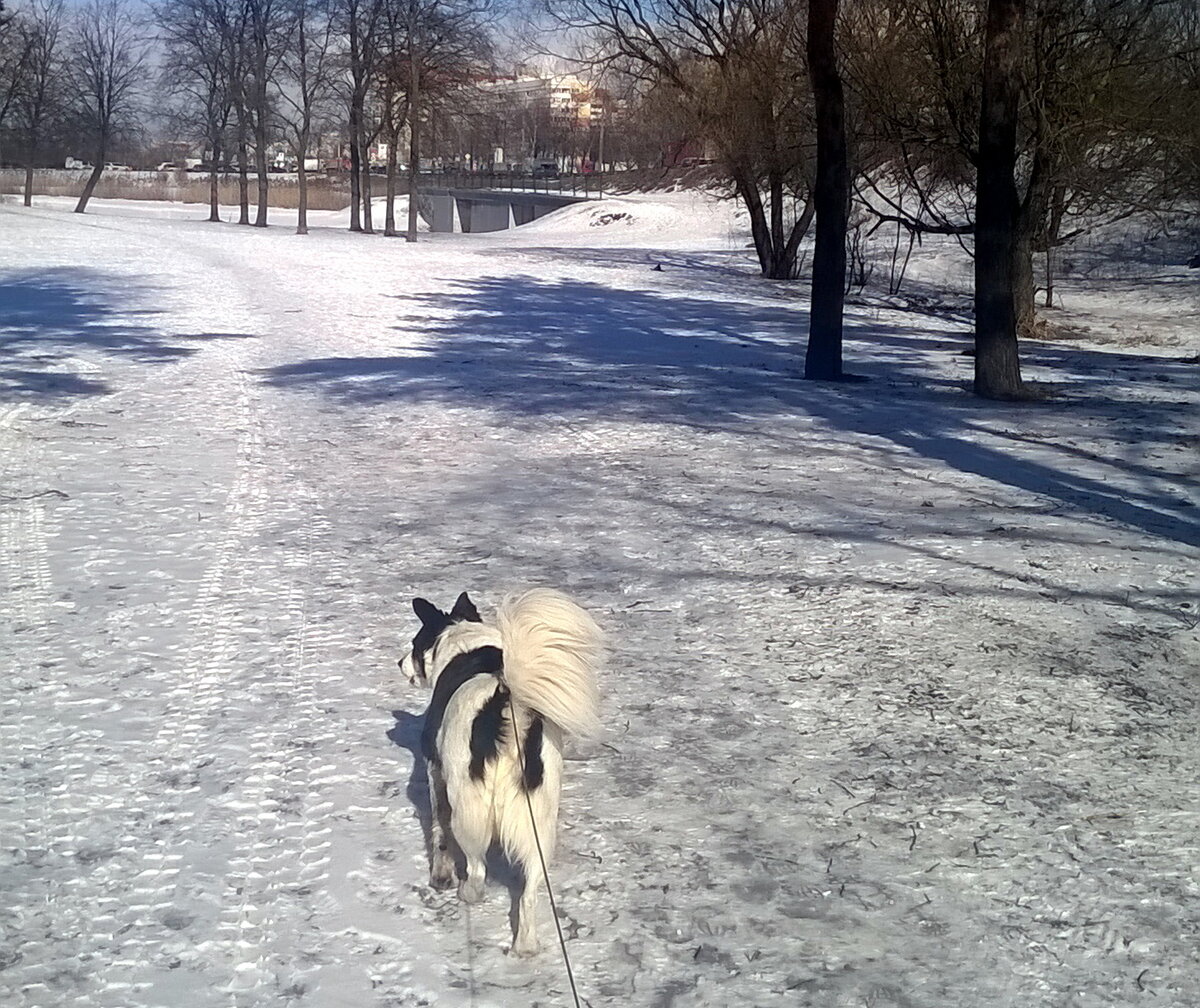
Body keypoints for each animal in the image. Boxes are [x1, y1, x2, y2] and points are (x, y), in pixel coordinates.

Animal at [400, 585, 600, 955]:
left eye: (414, 643)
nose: (399, 662)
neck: (463, 642)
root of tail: (509, 706)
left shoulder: (436, 770)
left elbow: (438, 831)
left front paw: (441, 875)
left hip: (470, 809)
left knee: (477, 867)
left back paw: (469, 893)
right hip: (538, 820)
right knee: (529, 893)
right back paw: (526, 945)